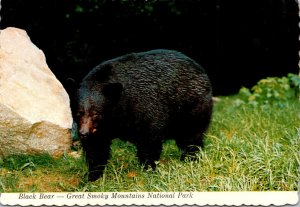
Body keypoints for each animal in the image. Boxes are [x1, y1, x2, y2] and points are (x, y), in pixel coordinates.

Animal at [77, 49, 213, 180]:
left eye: (95, 114)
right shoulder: (101, 129)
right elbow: (96, 148)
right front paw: (93, 175)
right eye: (79, 113)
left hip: (191, 108)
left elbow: (149, 142)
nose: (83, 133)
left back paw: (190, 158)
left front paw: (148, 168)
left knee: (190, 136)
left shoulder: (146, 109)